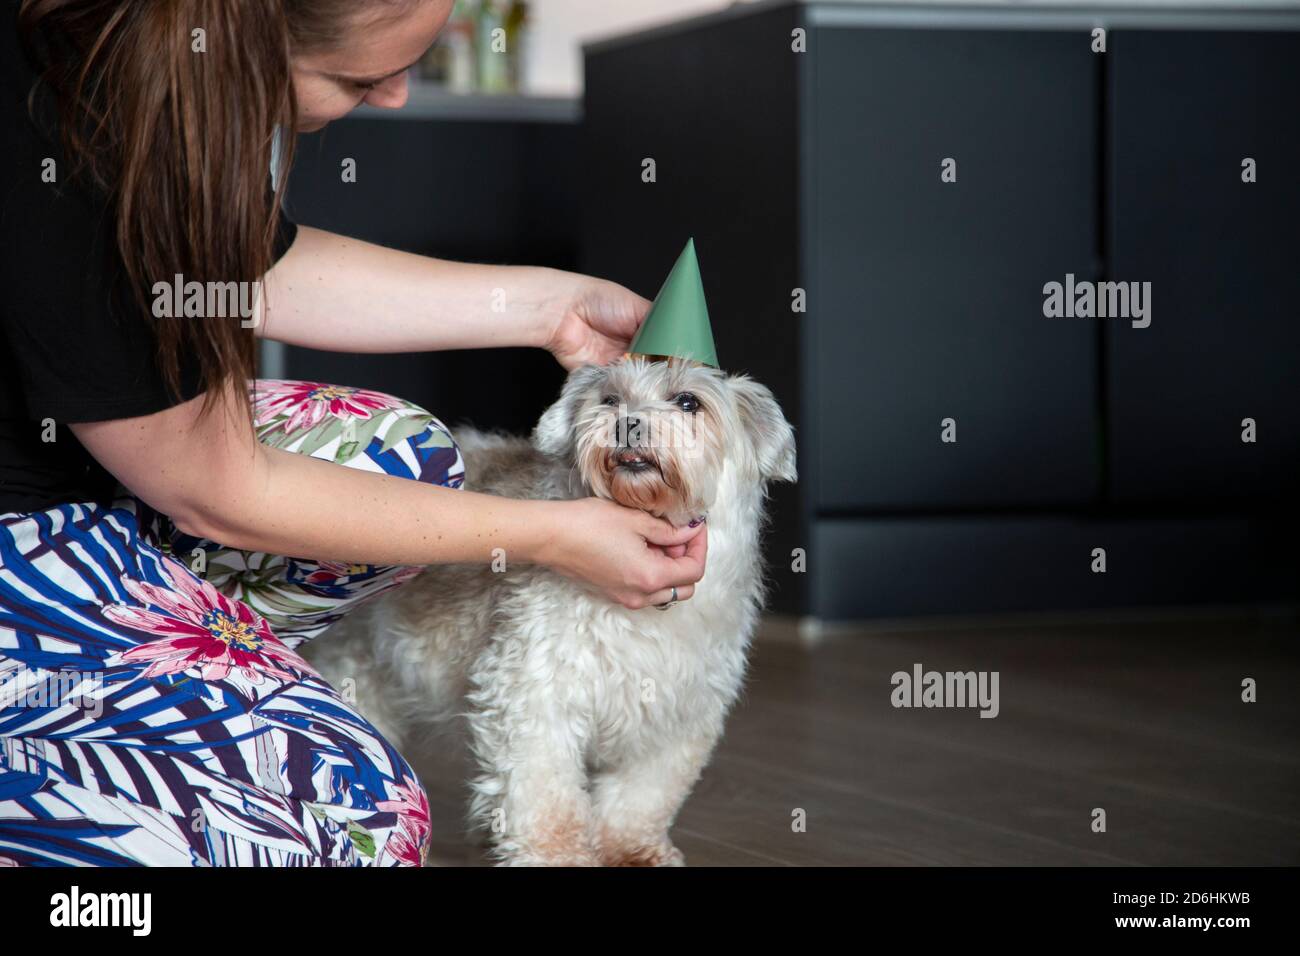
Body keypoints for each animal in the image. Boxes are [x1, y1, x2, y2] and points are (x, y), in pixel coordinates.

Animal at [309, 358, 795, 868]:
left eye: (688, 402)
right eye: (609, 399)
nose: (627, 423)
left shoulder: (677, 713)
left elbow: (641, 797)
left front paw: (631, 848)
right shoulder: (533, 693)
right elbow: (544, 795)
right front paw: (556, 856)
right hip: (356, 659)